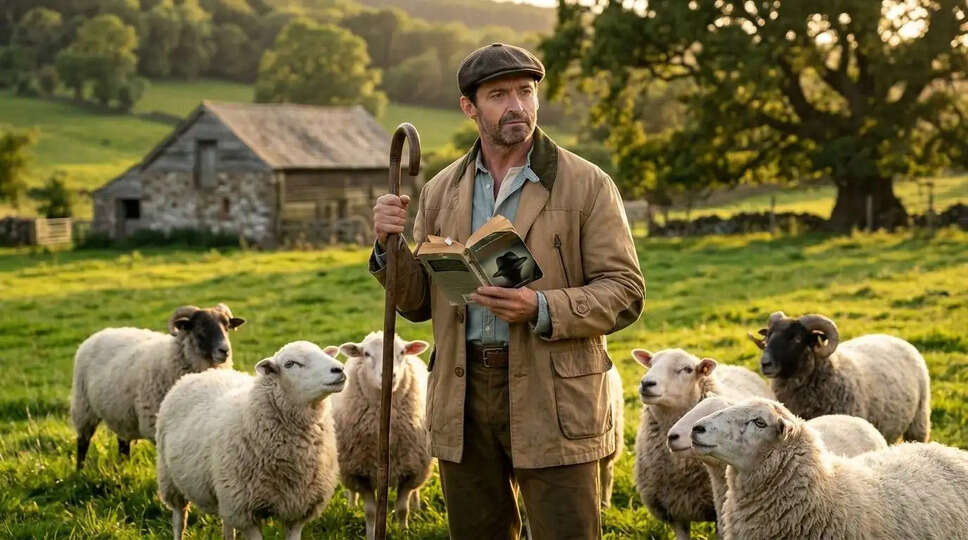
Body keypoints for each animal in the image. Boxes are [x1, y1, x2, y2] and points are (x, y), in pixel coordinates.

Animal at [70, 303, 245, 470]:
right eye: (200, 327)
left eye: (227, 326)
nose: (225, 351)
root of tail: (100, 333)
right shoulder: (155, 422)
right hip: (83, 404)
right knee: (83, 441)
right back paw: (80, 470)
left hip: (121, 412)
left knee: (123, 443)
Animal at [155, 341, 345, 540]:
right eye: (290, 364)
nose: (339, 369)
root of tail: (201, 373)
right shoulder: (245, 511)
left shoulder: (298, 509)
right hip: (170, 479)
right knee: (179, 518)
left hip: (224, 493)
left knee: (226, 523)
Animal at [333, 331, 432, 540]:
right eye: (366, 354)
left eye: (402, 352)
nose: (389, 375)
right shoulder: (359, 474)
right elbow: (371, 512)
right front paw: (371, 534)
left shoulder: (411, 470)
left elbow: (402, 508)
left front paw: (404, 532)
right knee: (351, 492)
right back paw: (351, 505)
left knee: (416, 491)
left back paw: (417, 506)